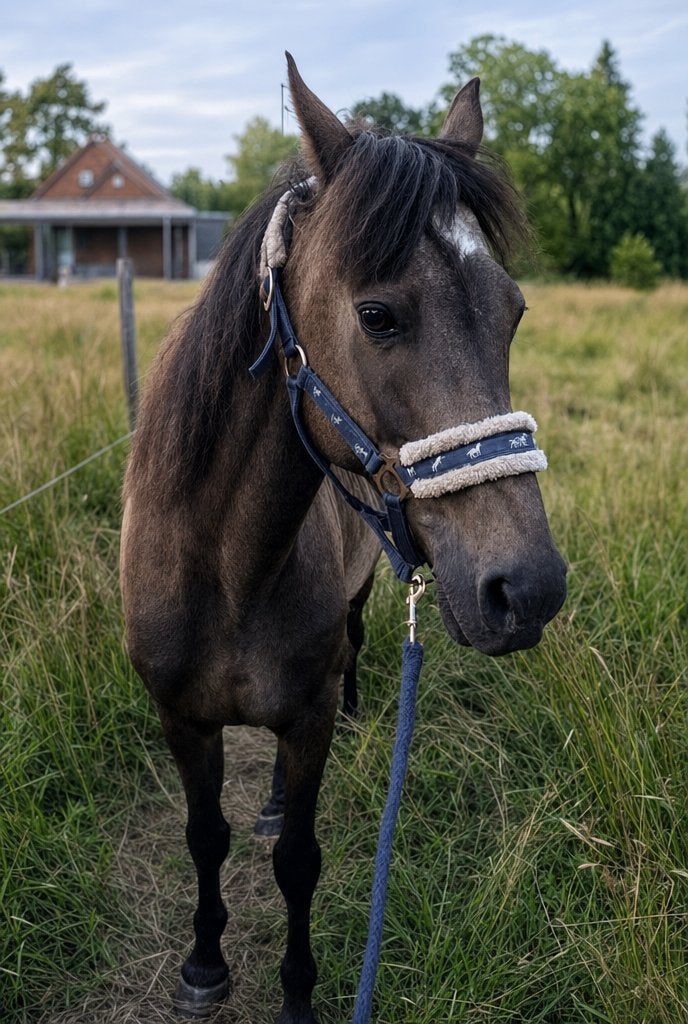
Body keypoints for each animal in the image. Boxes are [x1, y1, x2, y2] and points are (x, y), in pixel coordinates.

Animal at [120, 53, 567, 1023]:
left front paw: (297, 994)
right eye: (378, 316)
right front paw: (203, 964)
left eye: (513, 312)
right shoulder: (180, 718)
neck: (229, 570)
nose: (529, 588)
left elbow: (298, 861)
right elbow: (204, 837)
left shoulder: (308, 717)